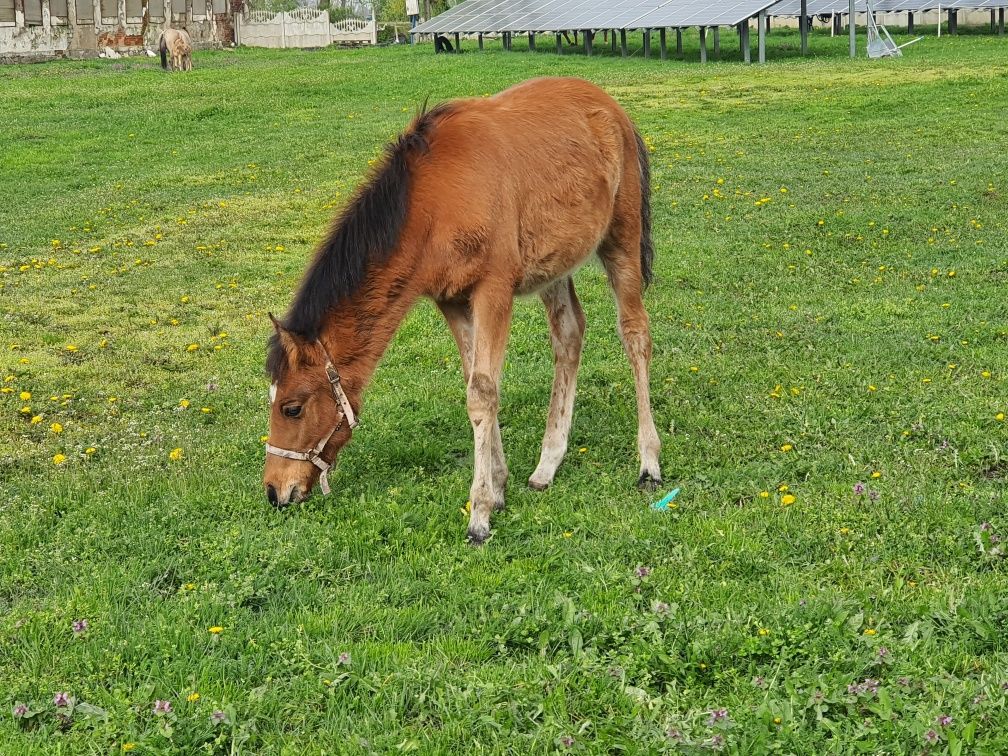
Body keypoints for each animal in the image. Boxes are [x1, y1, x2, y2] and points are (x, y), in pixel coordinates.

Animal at [264, 77, 665, 544]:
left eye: (292, 408)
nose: (275, 491)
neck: (432, 205)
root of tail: (614, 109)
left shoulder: (494, 290)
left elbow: (482, 392)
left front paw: (480, 514)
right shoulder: (452, 301)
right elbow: (476, 381)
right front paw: (499, 484)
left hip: (622, 237)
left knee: (635, 332)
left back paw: (649, 462)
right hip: (554, 265)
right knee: (569, 335)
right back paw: (548, 464)